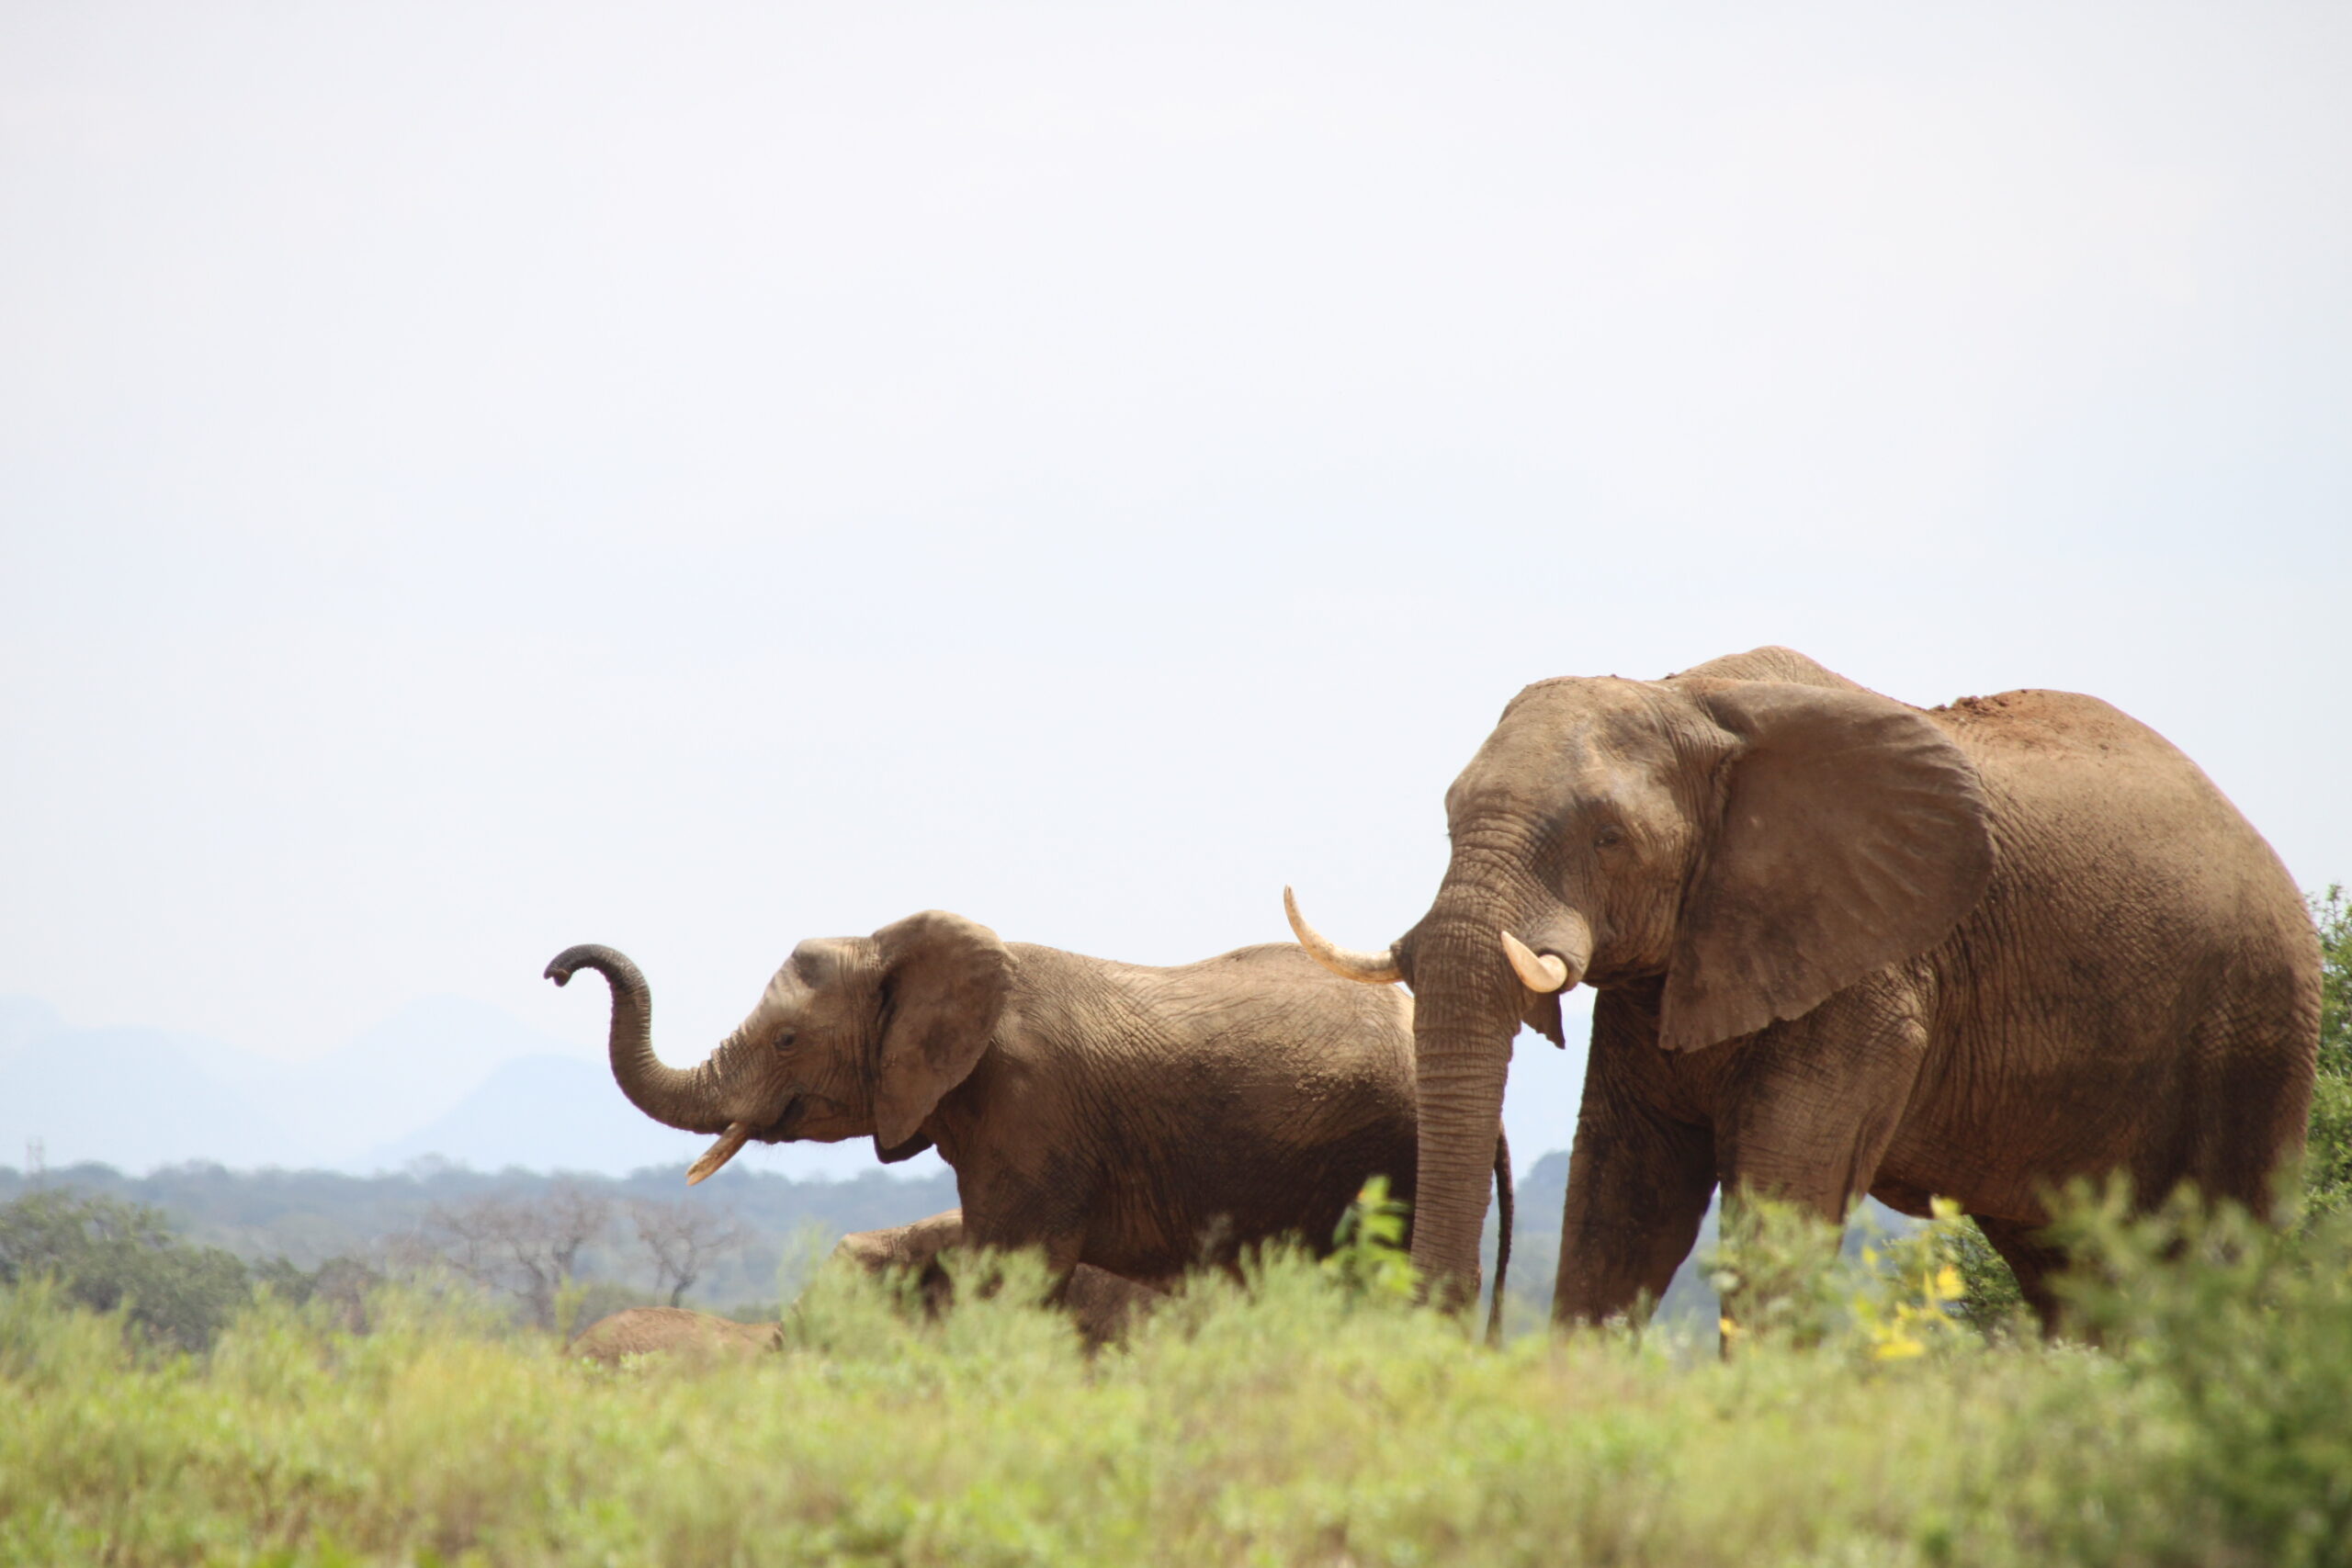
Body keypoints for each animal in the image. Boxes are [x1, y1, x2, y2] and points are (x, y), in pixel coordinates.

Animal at [1286, 646, 2320, 1328]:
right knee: (2073, 1273)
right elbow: (1622, 1199)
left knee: (2217, 1256)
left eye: (1608, 838)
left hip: (2256, 1028)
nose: (1465, 1312)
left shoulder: (1874, 977)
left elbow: (1778, 1202)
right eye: (1449, 817)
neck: (1692, 698)